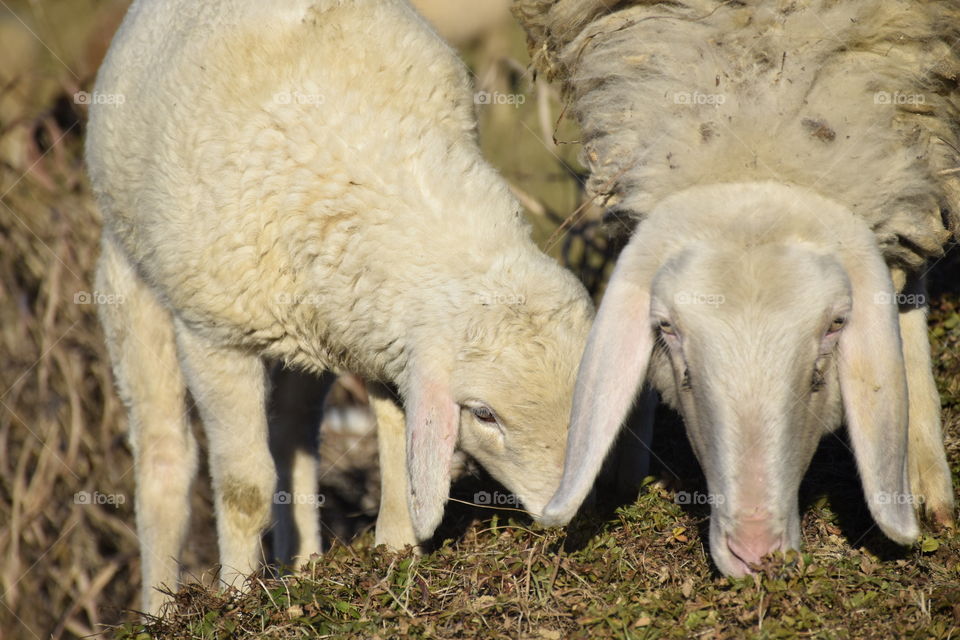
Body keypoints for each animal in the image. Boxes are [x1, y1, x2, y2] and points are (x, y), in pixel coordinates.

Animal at [86, 0, 592, 612]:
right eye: (484, 414)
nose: (568, 511)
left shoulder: (378, 333)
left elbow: (396, 445)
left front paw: (397, 554)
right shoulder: (215, 338)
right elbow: (243, 487)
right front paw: (237, 595)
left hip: (313, 329)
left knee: (293, 436)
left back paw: (303, 565)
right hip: (130, 271)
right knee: (165, 453)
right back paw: (160, 607)